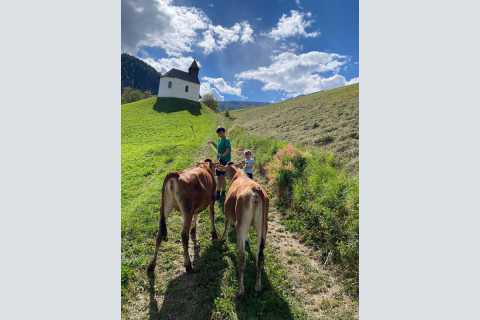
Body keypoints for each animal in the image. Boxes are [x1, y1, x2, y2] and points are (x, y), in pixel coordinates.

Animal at [219, 161, 268, 296]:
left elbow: (226, 225)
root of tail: (255, 189)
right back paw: (258, 285)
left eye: (225, 170)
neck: (238, 174)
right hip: (263, 226)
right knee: (260, 255)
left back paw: (241, 289)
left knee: (242, 257)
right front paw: (247, 239)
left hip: (240, 225)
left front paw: (222, 239)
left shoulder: (227, 213)